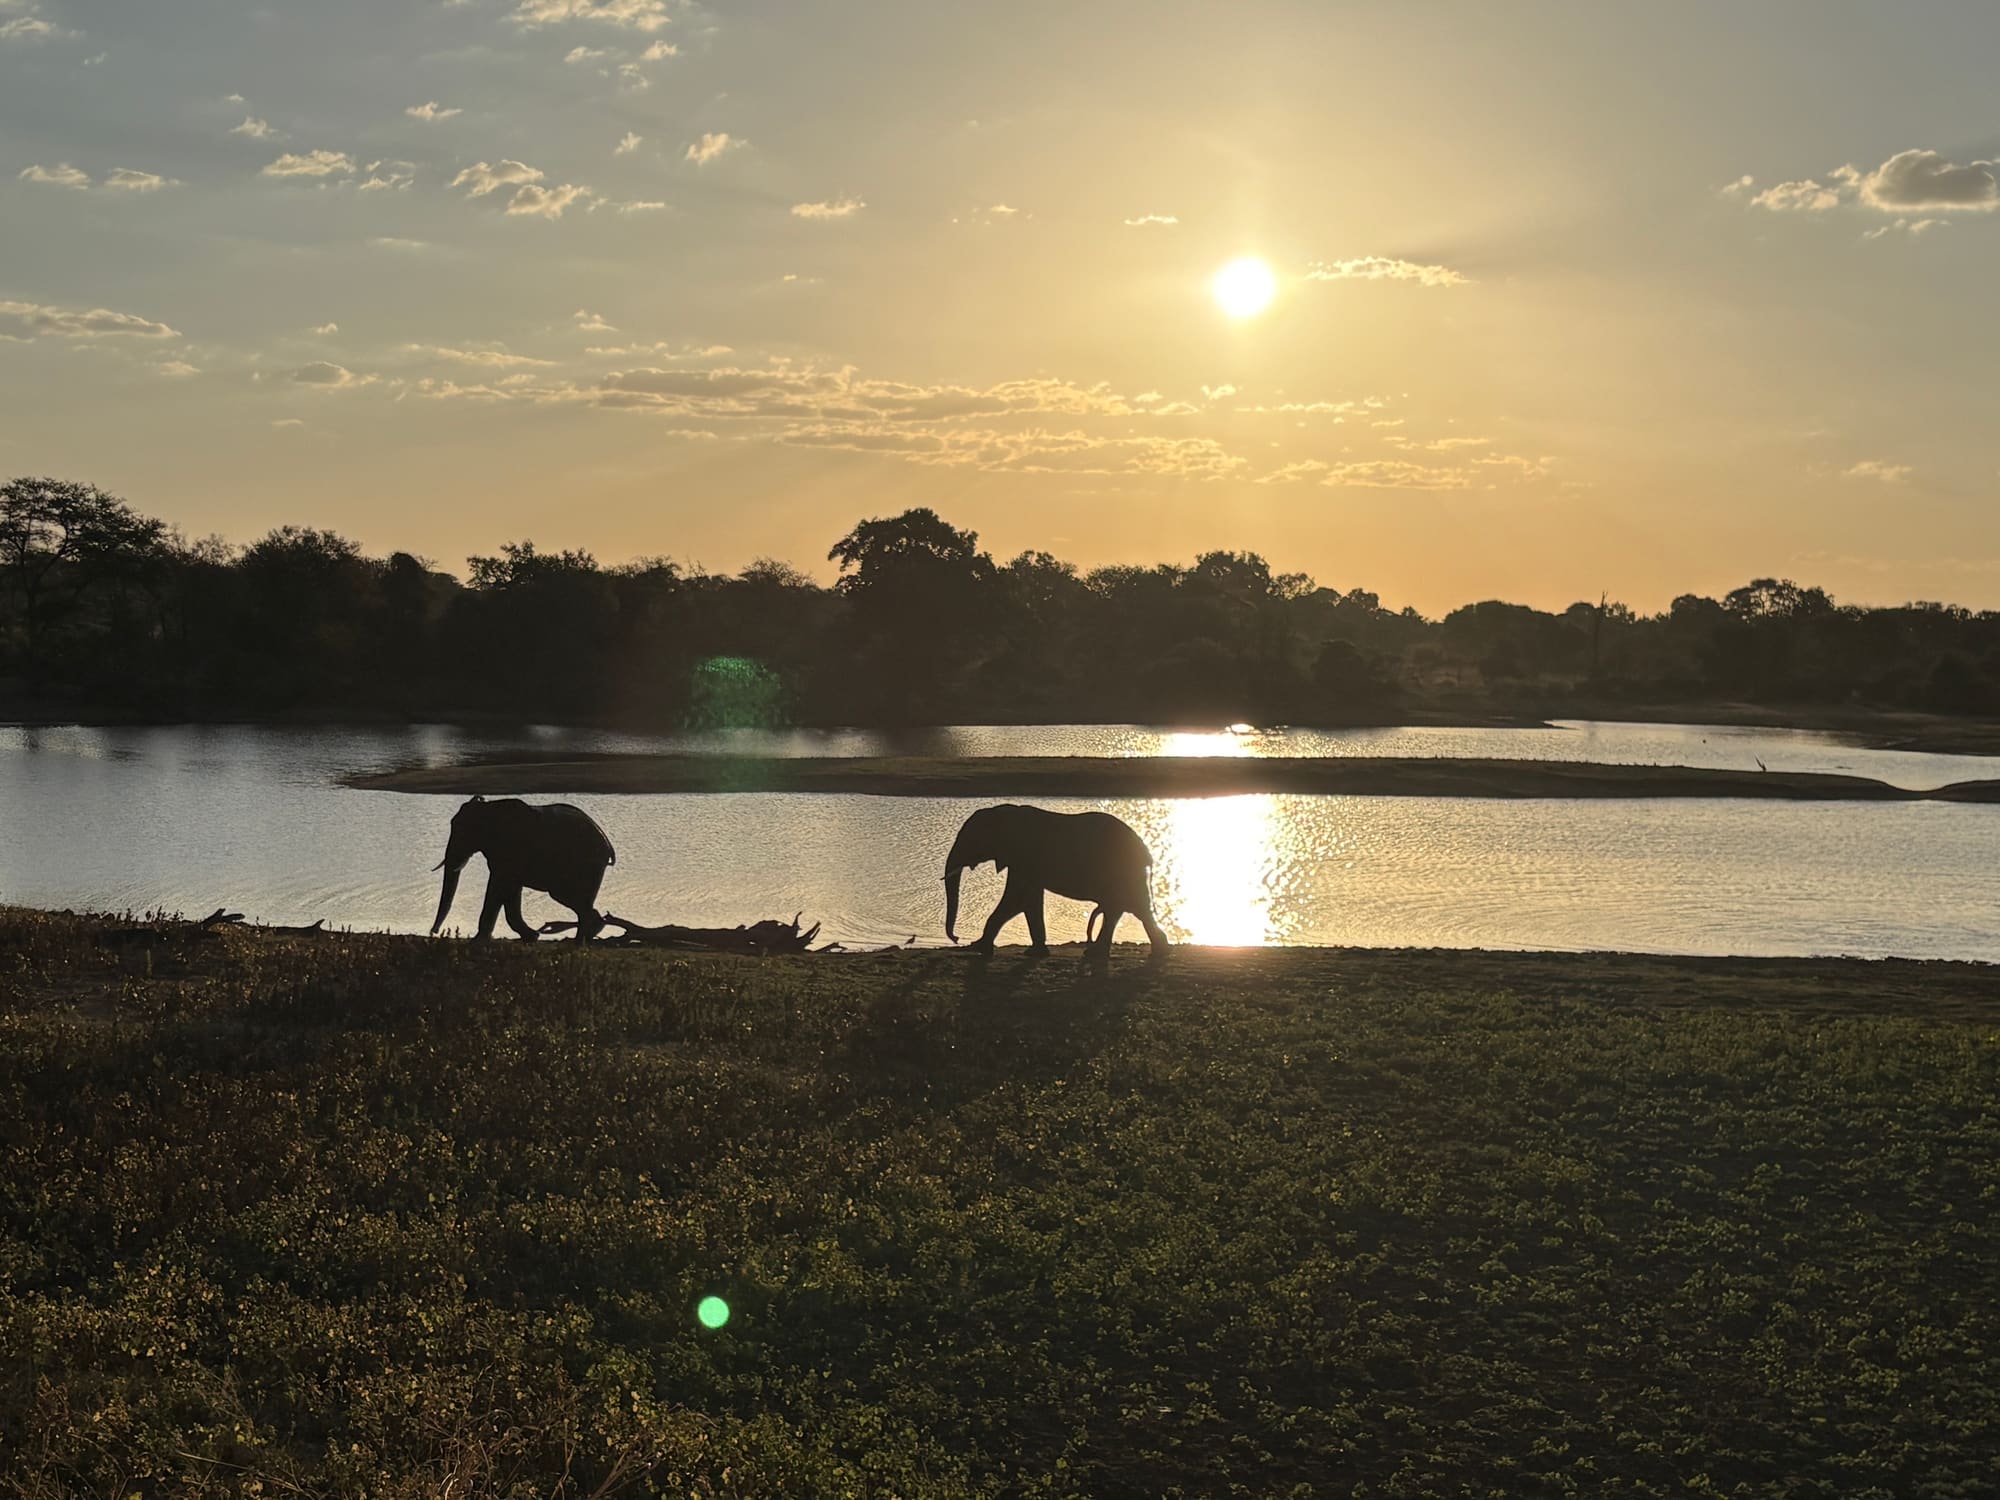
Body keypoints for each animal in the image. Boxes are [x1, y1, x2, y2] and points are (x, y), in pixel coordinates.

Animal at [430, 796, 616, 941]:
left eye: (462, 831)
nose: (433, 932)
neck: (488, 808)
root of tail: (607, 844)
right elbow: (511, 891)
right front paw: (531, 936)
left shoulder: (509, 850)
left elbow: (498, 887)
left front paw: (478, 940)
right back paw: (587, 935)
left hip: (585, 864)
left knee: (565, 895)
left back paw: (582, 938)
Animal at [942, 803, 1168, 960]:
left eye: (971, 840)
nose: (957, 939)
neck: (1003, 811)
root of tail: (1146, 852)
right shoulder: (1022, 862)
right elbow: (1026, 900)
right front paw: (1034, 953)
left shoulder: (1023, 856)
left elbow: (1015, 899)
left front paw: (979, 949)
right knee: (1131, 908)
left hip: (1122, 871)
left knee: (1129, 907)